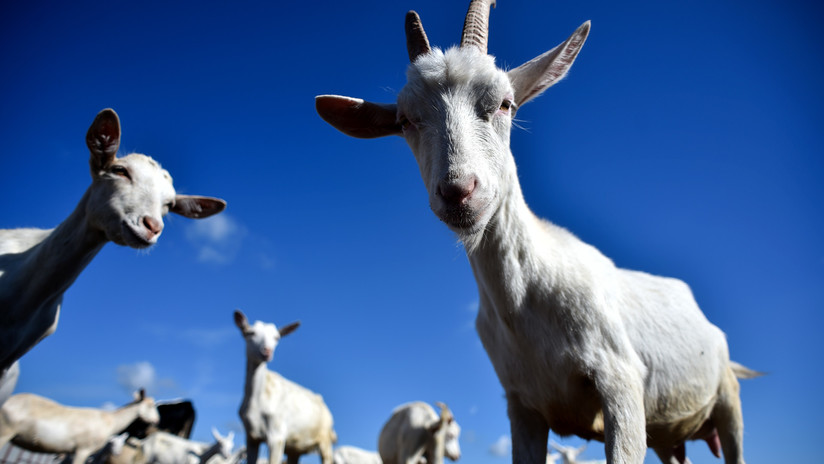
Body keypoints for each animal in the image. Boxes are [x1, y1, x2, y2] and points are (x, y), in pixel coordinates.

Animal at [0, 389, 159, 464]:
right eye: (150, 405)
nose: (157, 421)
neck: (110, 421)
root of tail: (9, 399)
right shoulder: (82, 449)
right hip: (5, 431)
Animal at [234, 309, 337, 464]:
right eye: (250, 333)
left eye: (277, 337)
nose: (267, 351)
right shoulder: (251, 437)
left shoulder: (277, 435)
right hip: (295, 447)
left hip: (324, 440)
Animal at [315, 1, 760, 463]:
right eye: (404, 121)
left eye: (505, 103)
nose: (459, 191)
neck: (528, 293)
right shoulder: (522, 405)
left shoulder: (621, 380)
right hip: (668, 435)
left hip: (728, 400)